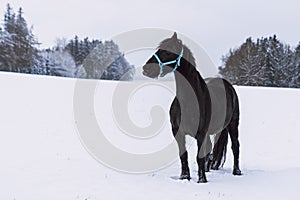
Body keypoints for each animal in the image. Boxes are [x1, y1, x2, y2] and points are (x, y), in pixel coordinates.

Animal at [142, 32, 241, 183]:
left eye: (168, 51)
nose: (146, 69)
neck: (188, 101)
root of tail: (227, 85)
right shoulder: (178, 132)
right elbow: (184, 155)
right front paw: (185, 177)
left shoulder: (201, 133)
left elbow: (199, 156)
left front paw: (202, 180)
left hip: (233, 124)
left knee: (235, 146)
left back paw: (237, 171)